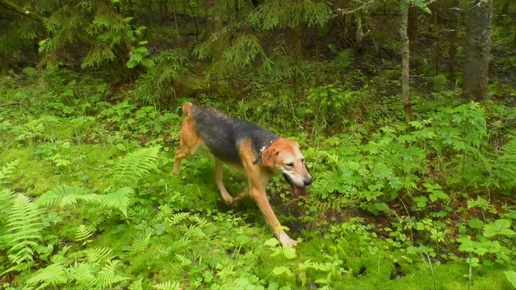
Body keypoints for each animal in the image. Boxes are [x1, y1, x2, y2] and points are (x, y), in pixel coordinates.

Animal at [172, 102, 310, 247]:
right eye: (289, 164)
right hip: (189, 149)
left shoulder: (256, 188)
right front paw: (285, 240)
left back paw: (226, 196)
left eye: (302, 160)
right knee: (177, 155)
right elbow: (274, 219)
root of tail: (193, 109)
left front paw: (235, 199)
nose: (308, 181)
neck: (262, 149)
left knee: (217, 176)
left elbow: (245, 193)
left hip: (220, 156)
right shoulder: (258, 192)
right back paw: (175, 173)